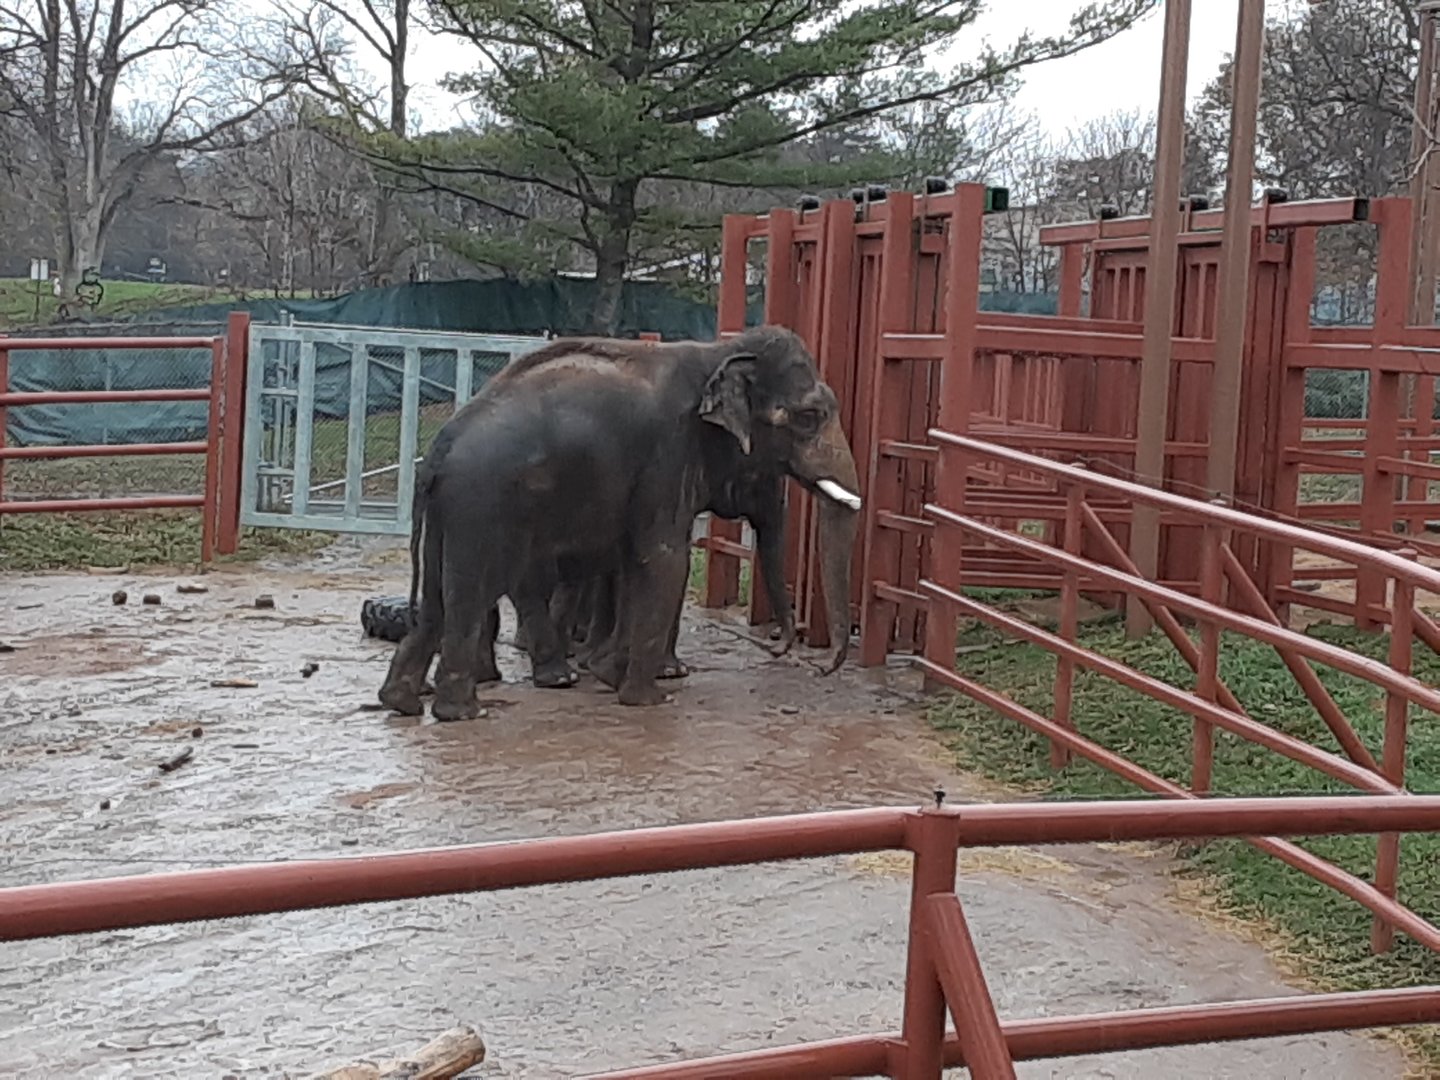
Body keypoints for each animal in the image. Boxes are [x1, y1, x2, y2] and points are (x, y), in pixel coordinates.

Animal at [378, 325, 861, 720]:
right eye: (808, 417)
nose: (802, 656)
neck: (719, 351)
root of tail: (438, 451)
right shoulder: (668, 452)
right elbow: (667, 560)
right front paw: (648, 699)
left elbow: (636, 562)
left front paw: (611, 676)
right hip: (482, 506)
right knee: (473, 593)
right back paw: (467, 711)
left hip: (453, 513)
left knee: (437, 600)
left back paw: (402, 702)